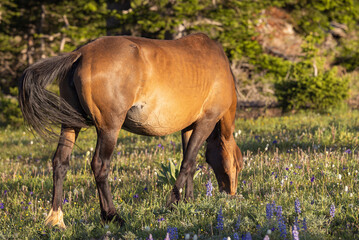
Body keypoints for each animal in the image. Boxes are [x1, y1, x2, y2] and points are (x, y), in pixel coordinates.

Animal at [19, 32, 245, 229]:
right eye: (238, 165)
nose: (231, 195)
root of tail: (81, 54)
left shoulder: (188, 128)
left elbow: (189, 163)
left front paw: (187, 202)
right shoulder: (206, 122)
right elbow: (188, 163)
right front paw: (172, 203)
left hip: (70, 126)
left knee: (60, 162)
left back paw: (56, 219)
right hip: (109, 128)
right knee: (100, 166)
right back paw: (112, 215)